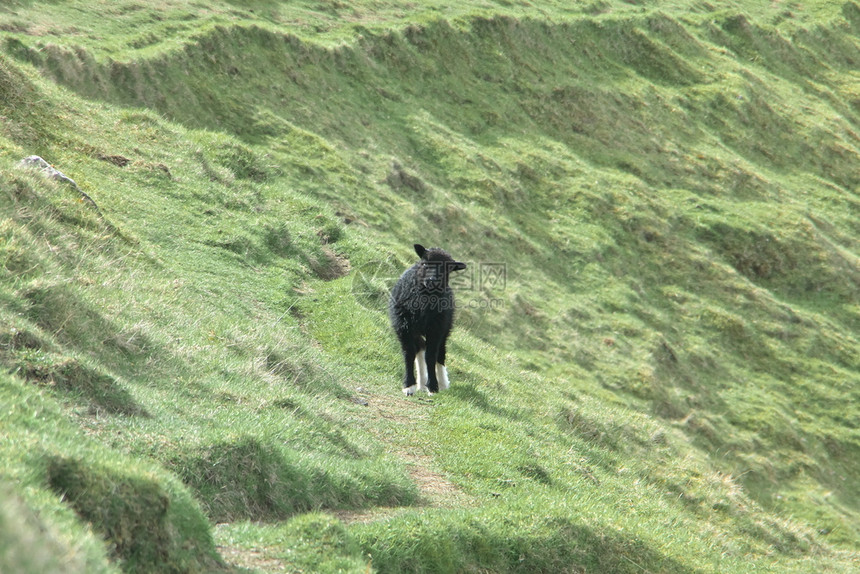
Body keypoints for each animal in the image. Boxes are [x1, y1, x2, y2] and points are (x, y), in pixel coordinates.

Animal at [392, 243, 470, 396]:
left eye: (447, 269)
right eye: (424, 262)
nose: (431, 281)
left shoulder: (436, 329)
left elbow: (431, 356)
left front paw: (433, 387)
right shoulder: (403, 326)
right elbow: (409, 352)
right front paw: (409, 386)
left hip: (445, 327)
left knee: (440, 353)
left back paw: (442, 383)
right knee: (420, 347)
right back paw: (421, 384)